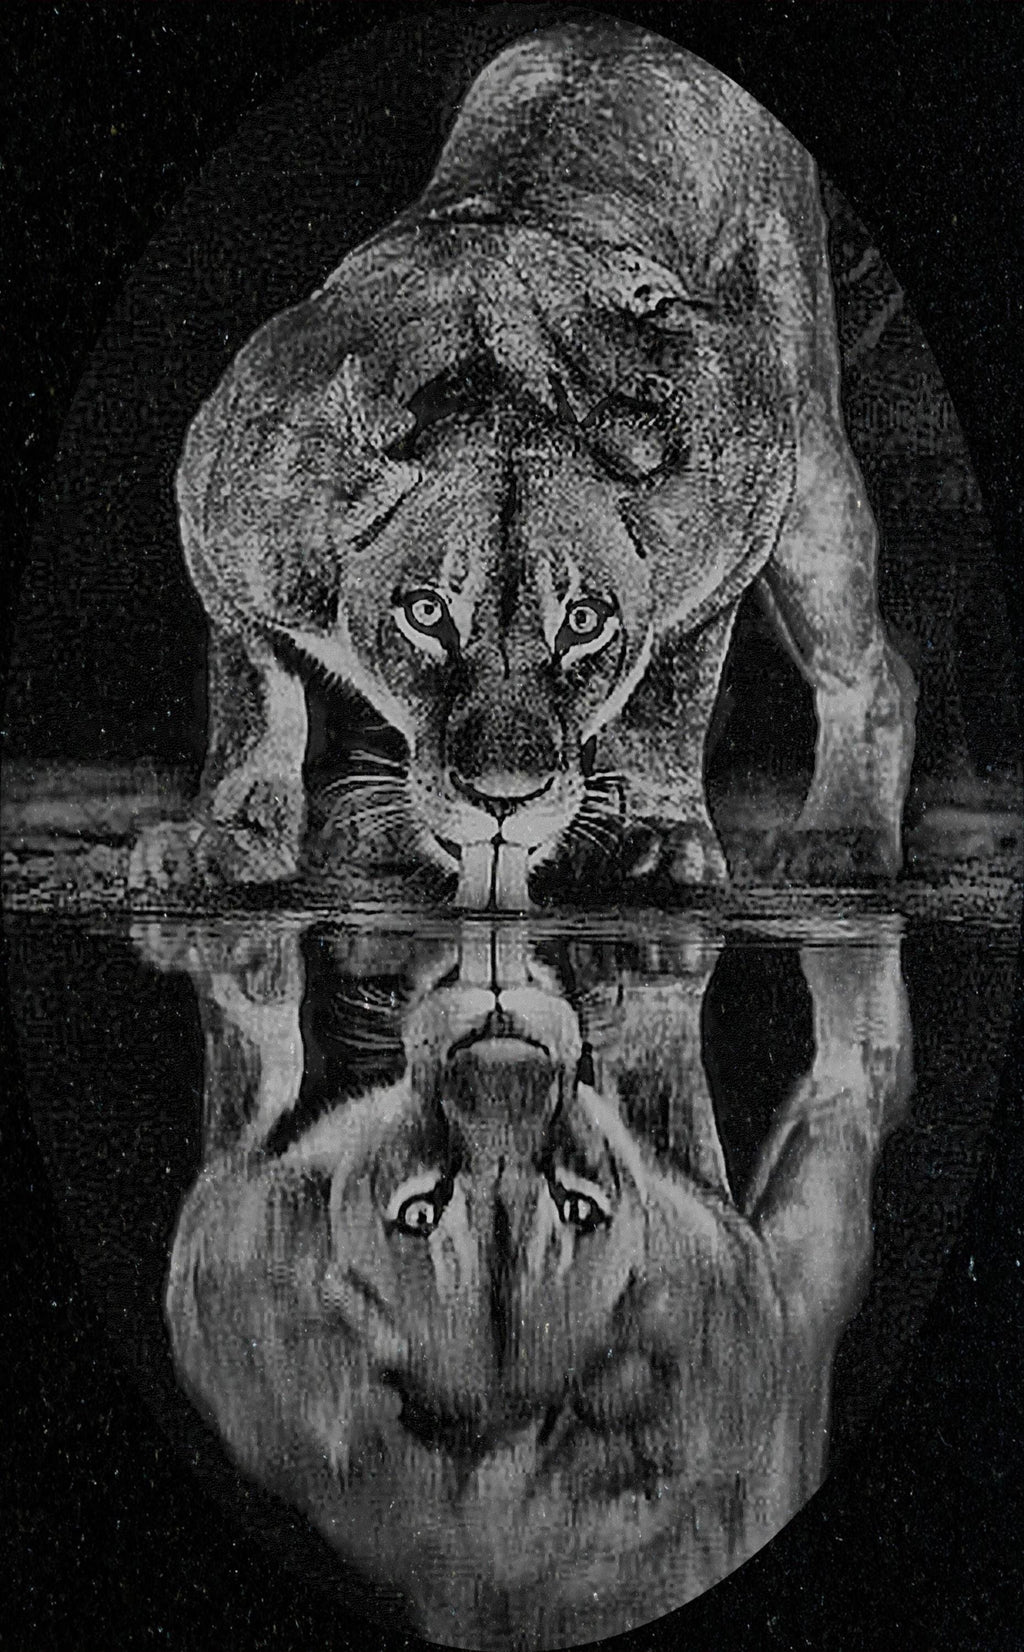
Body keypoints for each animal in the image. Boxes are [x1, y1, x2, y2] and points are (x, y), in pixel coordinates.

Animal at [130, 18, 916, 910]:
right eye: (426, 613)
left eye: (584, 622)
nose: (503, 800)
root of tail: (622, 30)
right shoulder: (222, 525)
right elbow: (255, 698)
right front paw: (227, 839)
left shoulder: (744, 467)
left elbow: (670, 694)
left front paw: (657, 835)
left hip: (811, 472)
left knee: (874, 672)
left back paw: (843, 835)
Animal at [138, 915, 912, 1648]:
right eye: (422, 1210)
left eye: (577, 1204)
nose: (505, 1052)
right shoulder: (231, 1289)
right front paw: (245, 961)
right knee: (858, 1079)